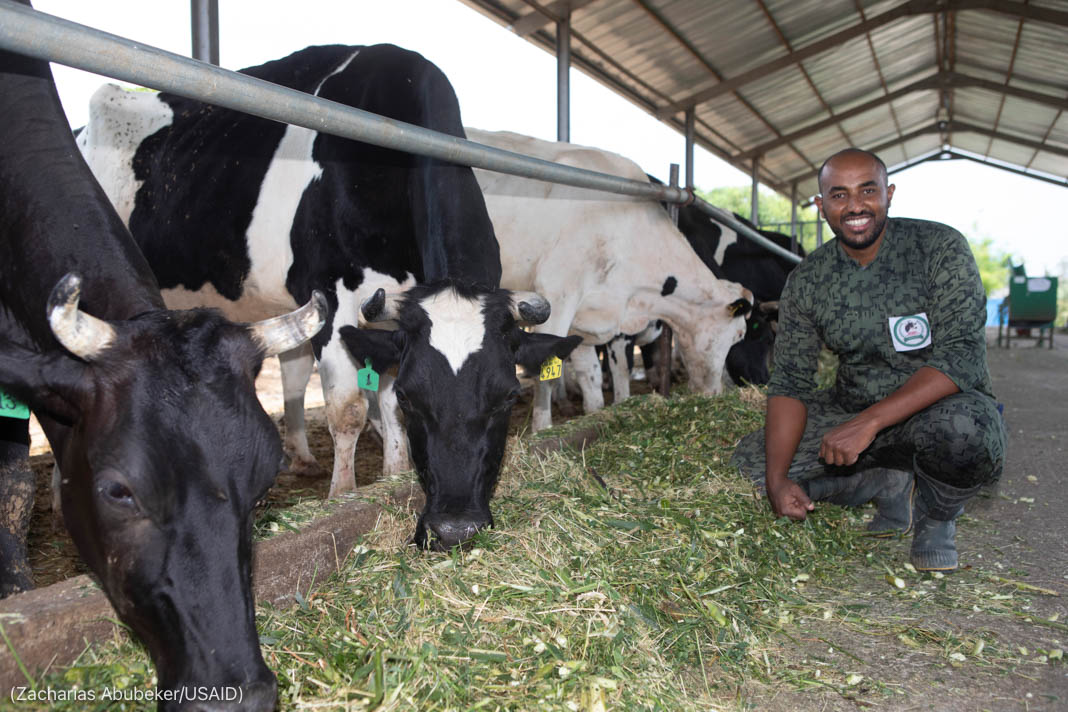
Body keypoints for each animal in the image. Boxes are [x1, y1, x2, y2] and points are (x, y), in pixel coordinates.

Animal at [76, 43, 580, 550]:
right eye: (418, 398)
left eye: (508, 397)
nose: (455, 528)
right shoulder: (332, 295)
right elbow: (350, 408)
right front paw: (344, 494)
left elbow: (384, 398)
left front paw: (393, 472)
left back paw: (299, 457)